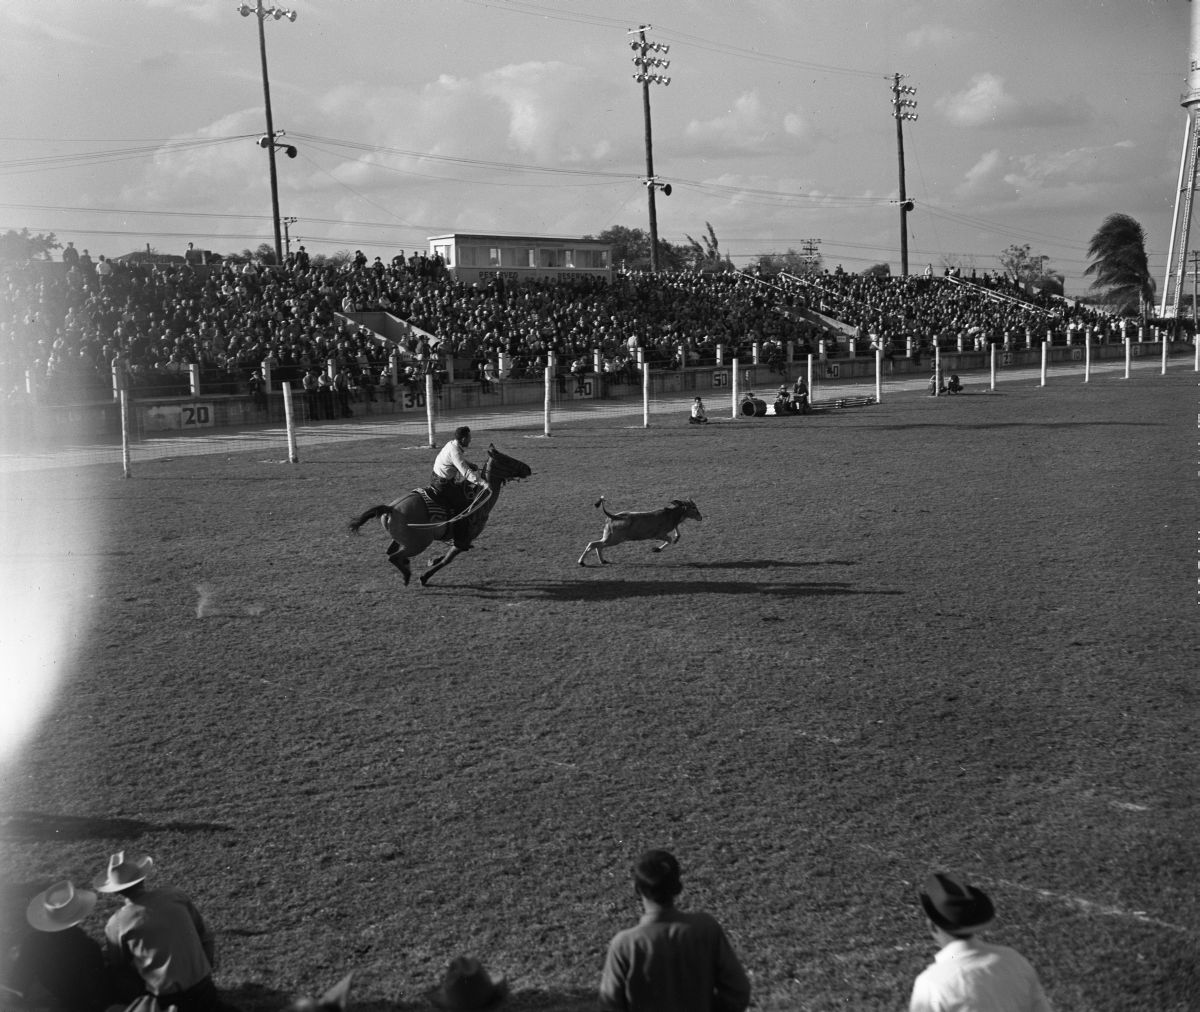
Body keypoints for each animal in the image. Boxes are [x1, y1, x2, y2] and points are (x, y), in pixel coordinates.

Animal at [350, 444, 532, 585]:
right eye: (506, 460)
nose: (528, 468)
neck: (480, 500)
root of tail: (391, 508)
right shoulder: (463, 540)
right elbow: (447, 559)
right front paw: (424, 576)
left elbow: (444, 557)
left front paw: (431, 562)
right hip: (418, 544)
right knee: (393, 557)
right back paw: (407, 575)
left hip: (402, 540)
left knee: (390, 553)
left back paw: (406, 567)